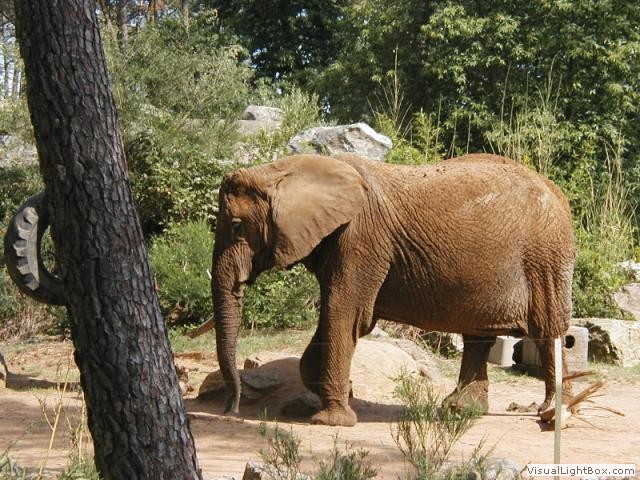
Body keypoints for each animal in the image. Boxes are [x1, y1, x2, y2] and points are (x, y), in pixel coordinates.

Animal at [211, 153, 575, 427]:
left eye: (237, 227)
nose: (231, 409)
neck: (283, 169)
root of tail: (558, 193)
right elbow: (334, 316)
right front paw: (339, 396)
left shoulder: (361, 238)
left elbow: (345, 313)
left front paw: (332, 421)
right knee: (478, 336)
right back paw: (460, 410)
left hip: (545, 256)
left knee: (548, 329)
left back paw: (552, 415)